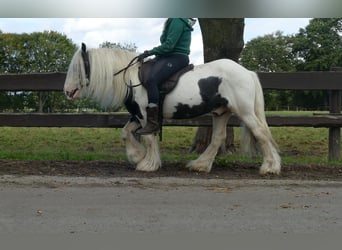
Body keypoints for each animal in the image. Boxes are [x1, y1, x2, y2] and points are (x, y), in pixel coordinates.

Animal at [64, 44, 280, 175]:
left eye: (78, 68)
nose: (67, 91)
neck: (132, 78)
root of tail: (247, 72)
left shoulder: (146, 115)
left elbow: (149, 138)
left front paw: (148, 164)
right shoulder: (137, 115)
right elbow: (126, 133)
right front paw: (137, 156)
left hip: (244, 112)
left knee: (261, 133)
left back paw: (270, 167)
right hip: (221, 112)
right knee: (218, 138)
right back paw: (200, 165)